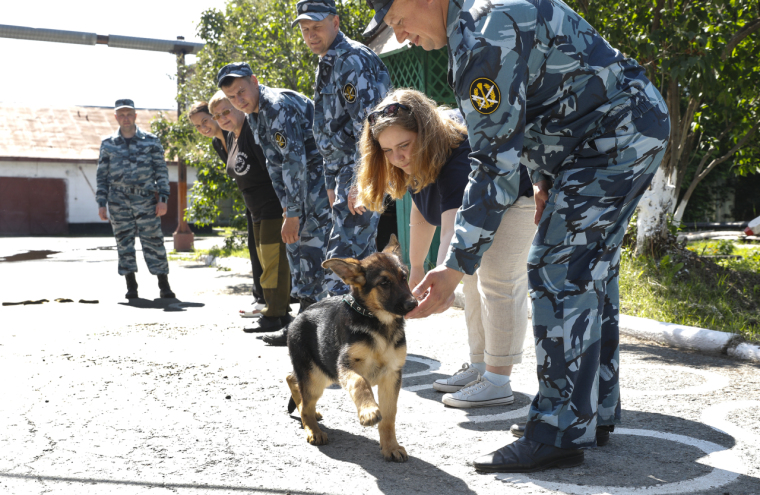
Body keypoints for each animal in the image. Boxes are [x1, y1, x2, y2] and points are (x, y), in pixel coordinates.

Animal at [286, 234, 418, 464]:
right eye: (384, 282)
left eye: (404, 277)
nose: (414, 304)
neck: (377, 322)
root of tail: (298, 317)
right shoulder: (346, 366)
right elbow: (360, 383)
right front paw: (369, 411)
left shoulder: (391, 375)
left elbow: (389, 416)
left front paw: (390, 446)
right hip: (316, 376)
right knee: (303, 397)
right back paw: (313, 429)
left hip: (323, 372)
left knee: (293, 380)